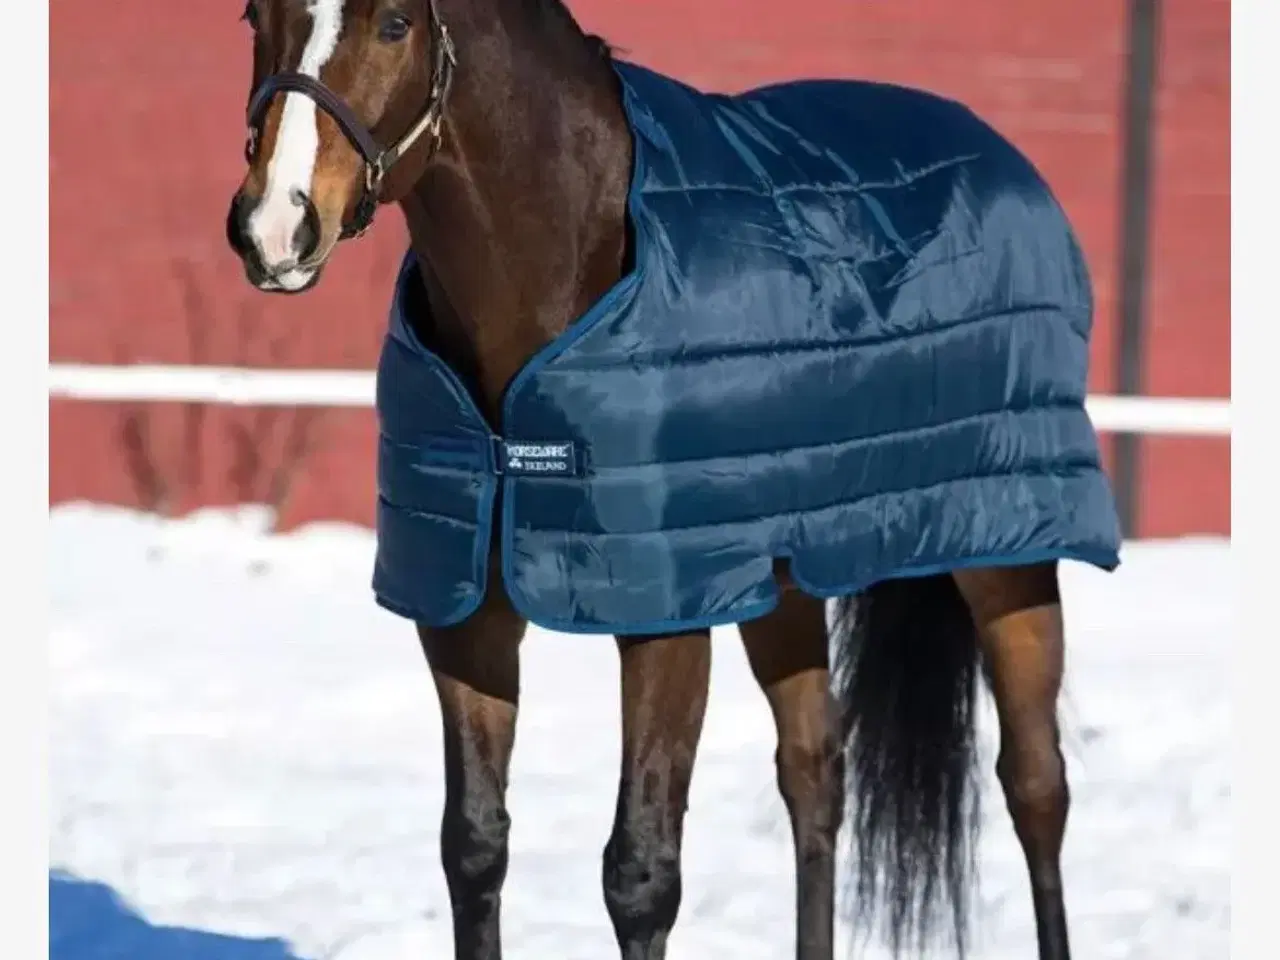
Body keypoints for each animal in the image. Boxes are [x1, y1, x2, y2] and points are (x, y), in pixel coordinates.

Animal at [224, 2, 1122, 958]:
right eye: (255, 16)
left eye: (395, 24)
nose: (275, 227)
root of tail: (998, 152)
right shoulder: (465, 609)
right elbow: (472, 846)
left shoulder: (665, 618)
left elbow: (642, 872)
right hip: (782, 581)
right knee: (817, 777)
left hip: (1009, 558)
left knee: (1036, 786)